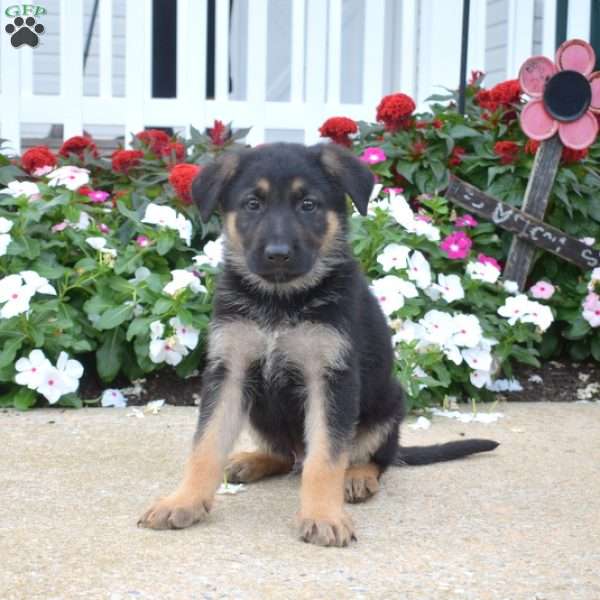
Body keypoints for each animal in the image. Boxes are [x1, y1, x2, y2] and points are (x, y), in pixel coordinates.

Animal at [138, 143, 500, 548]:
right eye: (252, 204)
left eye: (308, 205)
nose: (278, 254)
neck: (280, 300)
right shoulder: (229, 371)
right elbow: (206, 445)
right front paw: (183, 501)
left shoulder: (331, 378)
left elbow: (325, 458)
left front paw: (323, 516)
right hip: (260, 411)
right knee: (287, 455)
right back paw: (251, 460)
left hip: (389, 405)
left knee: (372, 458)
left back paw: (357, 477)